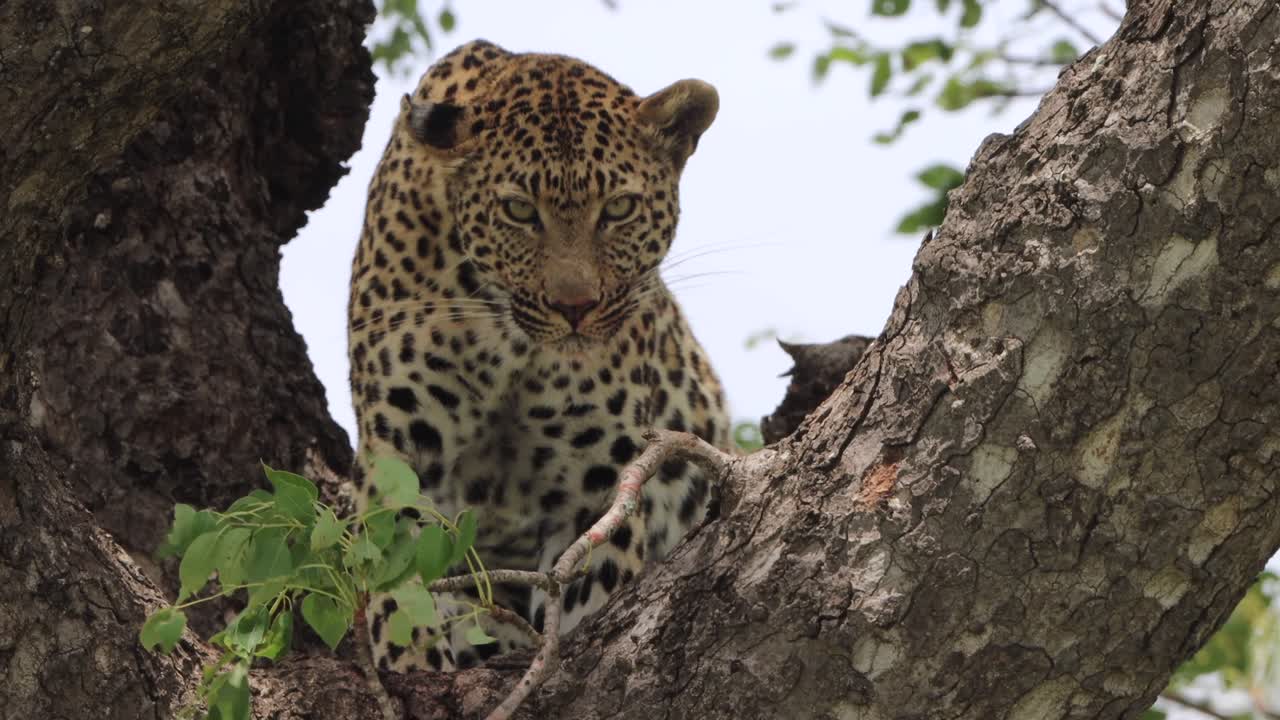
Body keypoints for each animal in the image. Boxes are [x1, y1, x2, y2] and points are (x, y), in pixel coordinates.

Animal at [347, 39, 730, 672]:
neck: (511, 345)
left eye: (619, 208)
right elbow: (398, 584)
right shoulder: (402, 452)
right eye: (520, 211)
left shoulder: (595, 484)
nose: (576, 307)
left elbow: (585, 596)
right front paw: (413, 664)